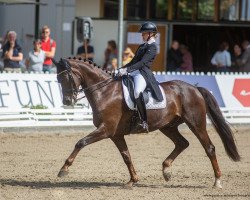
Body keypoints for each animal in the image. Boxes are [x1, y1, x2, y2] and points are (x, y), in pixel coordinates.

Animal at [52, 57, 240, 188]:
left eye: (67, 78)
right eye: (58, 80)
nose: (67, 101)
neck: (105, 92)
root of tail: (194, 88)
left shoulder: (105, 130)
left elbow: (80, 142)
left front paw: (64, 169)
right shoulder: (116, 134)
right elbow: (126, 156)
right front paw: (133, 180)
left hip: (196, 124)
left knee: (209, 148)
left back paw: (217, 181)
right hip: (168, 126)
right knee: (182, 143)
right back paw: (166, 171)